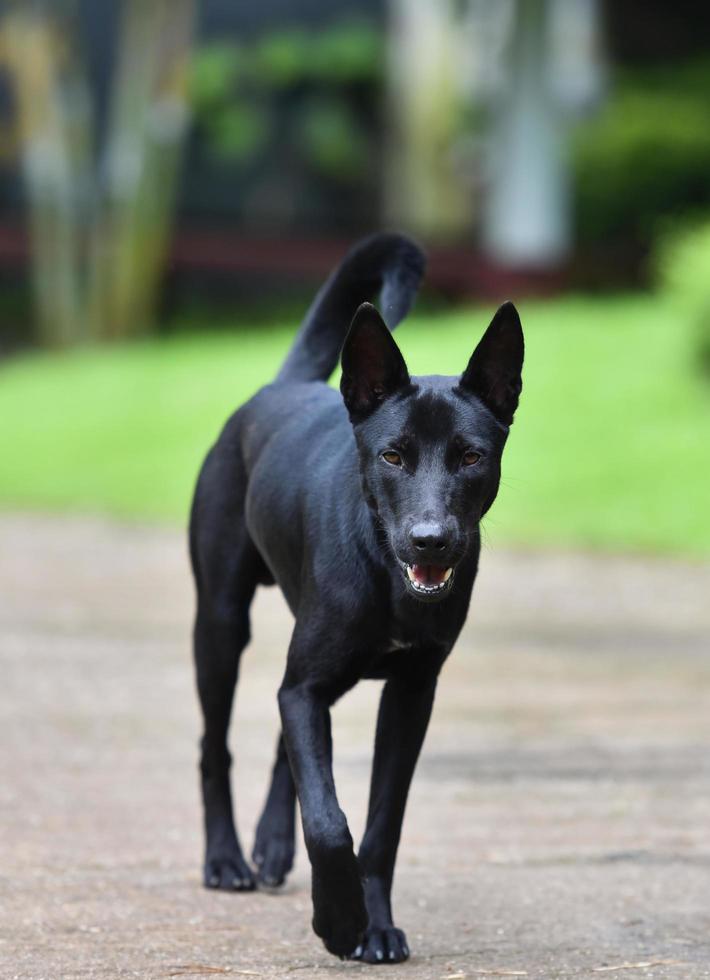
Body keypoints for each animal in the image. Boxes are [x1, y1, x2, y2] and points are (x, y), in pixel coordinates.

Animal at [189, 235, 524, 964]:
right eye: (393, 456)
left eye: (471, 457)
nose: (431, 540)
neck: (388, 575)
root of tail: (284, 386)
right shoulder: (309, 685)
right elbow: (329, 819)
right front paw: (339, 921)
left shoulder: (410, 695)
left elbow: (378, 824)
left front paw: (374, 925)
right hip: (221, 624)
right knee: (215, 745)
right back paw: (227, 859)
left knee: (287, 740)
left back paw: (270, 846)